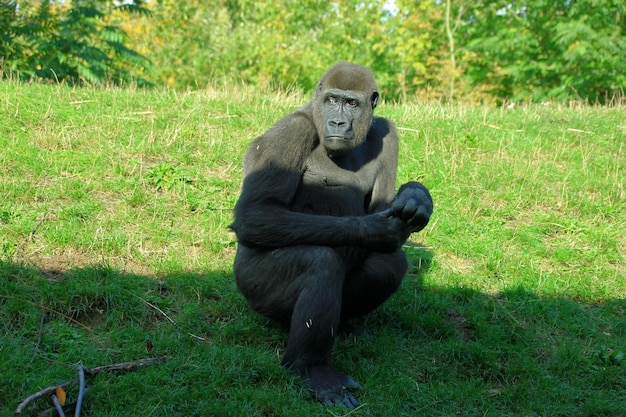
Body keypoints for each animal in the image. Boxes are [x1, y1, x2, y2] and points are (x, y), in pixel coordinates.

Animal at [229, 61, 428, 406]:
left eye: (352, 103)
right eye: (332, 100)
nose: (337, 121)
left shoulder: (387, 134)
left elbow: (385, 205)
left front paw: (417, 197)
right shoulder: (292, 130)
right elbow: (256, 212)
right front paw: (372, 229)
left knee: (387, 263)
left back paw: (345, 325)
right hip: (252, 288)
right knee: (320, 263)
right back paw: (311, 369)